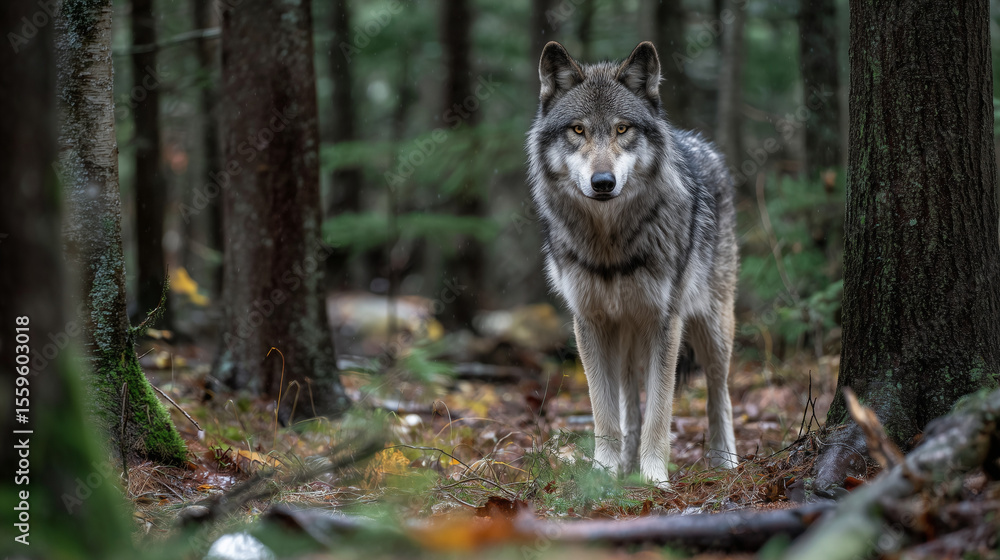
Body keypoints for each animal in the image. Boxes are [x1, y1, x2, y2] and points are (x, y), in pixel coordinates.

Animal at [526, 41, 739, 488]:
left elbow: (661, 411)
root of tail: (701, 144)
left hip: (712, 327)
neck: (611, 245)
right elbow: (604, 411)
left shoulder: (665, 322)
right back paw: (625, 462)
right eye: (578, 130)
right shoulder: (589, 322)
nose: (603, 182)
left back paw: (726, 461)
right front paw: (605, 473)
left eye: (622, 129)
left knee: (719, 391)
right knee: (628, 400)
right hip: (624, 331)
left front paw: (655, 478)